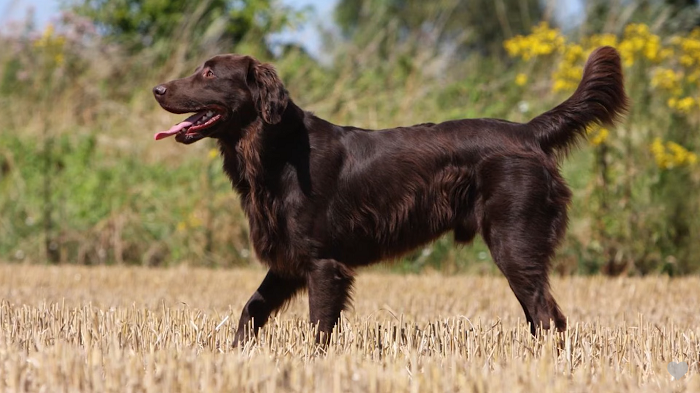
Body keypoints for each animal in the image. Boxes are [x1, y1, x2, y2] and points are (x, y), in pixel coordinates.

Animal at [153, 46, 628, 344]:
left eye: (209, 73)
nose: (157, 89)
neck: (277, 151)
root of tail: (529, 132)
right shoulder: (289, 262)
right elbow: (251, 309)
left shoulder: (324, 264)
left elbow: (317, 329)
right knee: (540, 317)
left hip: (515, 243)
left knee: (548, 316)